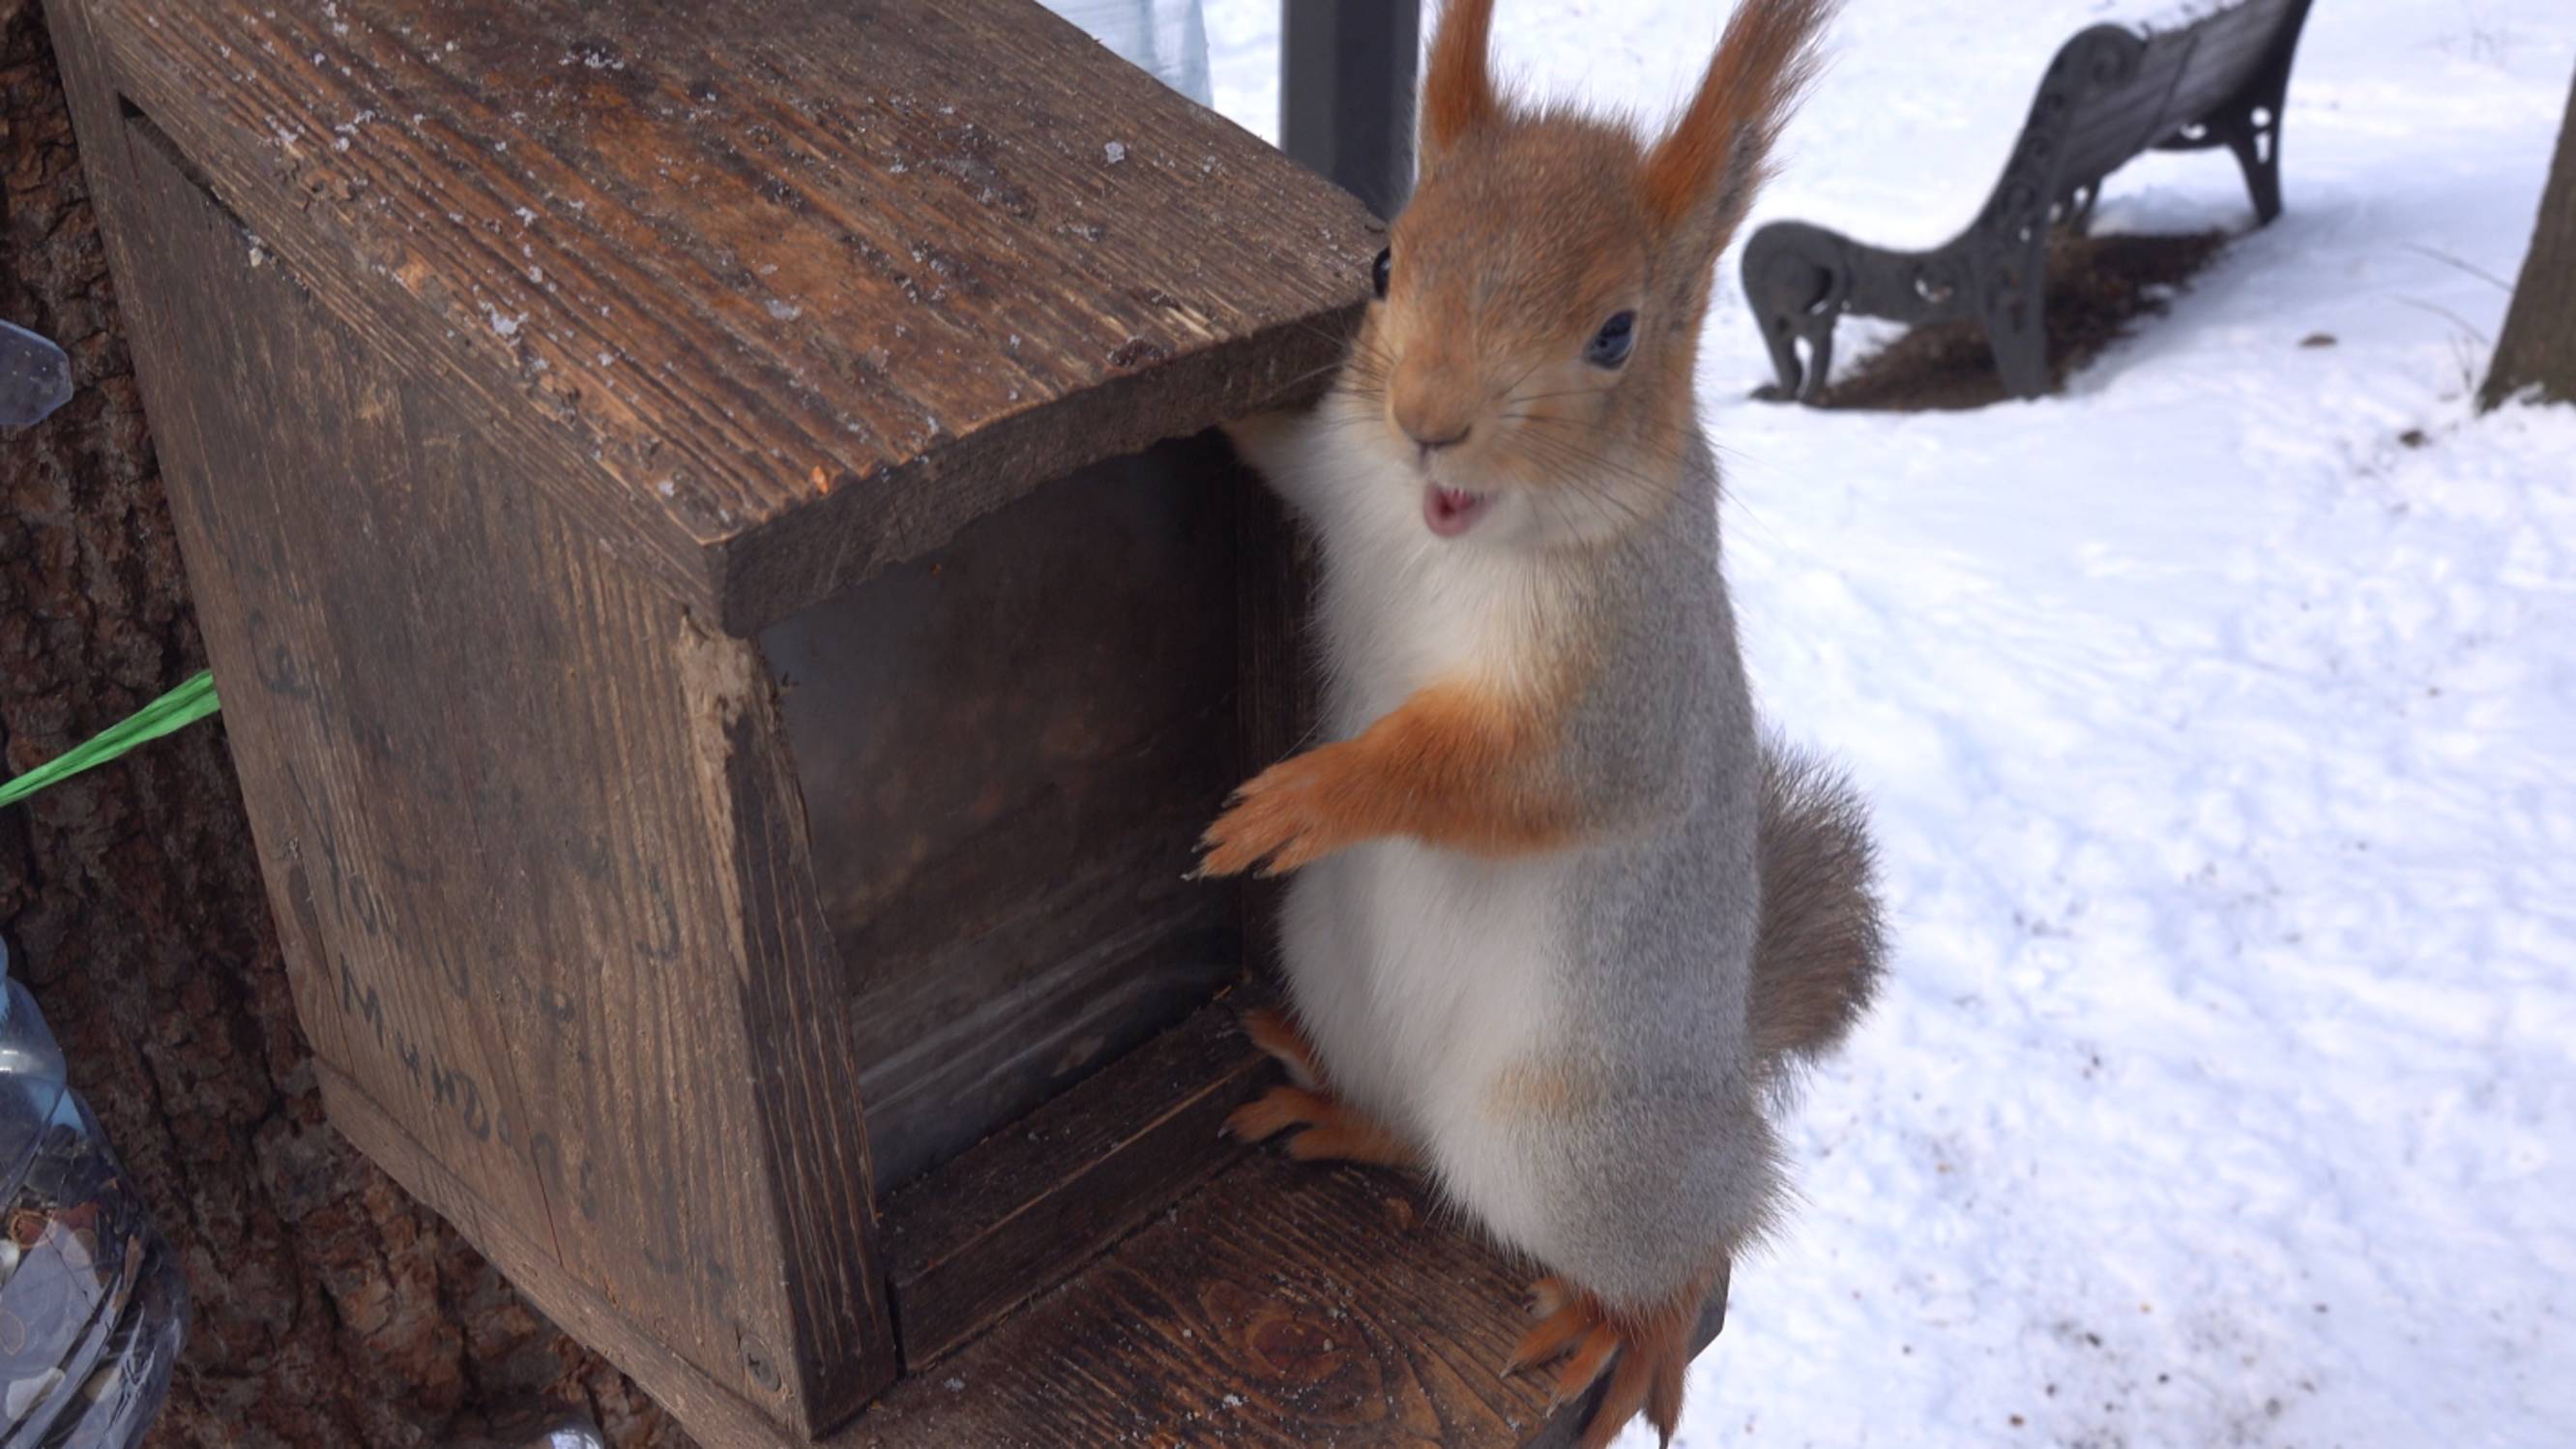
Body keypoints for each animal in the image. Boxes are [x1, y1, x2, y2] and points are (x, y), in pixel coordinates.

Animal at [1195, 5, 1886, 1434]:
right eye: (1384, 260)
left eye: (1617, 333)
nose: (1428, 423)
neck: (1447, 532)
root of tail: (1725, 1083)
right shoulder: (1338, 467)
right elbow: (1280, 447)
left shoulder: (1622, 684)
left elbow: (1497, 775)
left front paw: (1307, 795)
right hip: (1333, 971)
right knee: (1415, 1136)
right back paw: (1343, 1114)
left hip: (1575, 1148)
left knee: (1703, 1236)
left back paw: (1637, 1325)